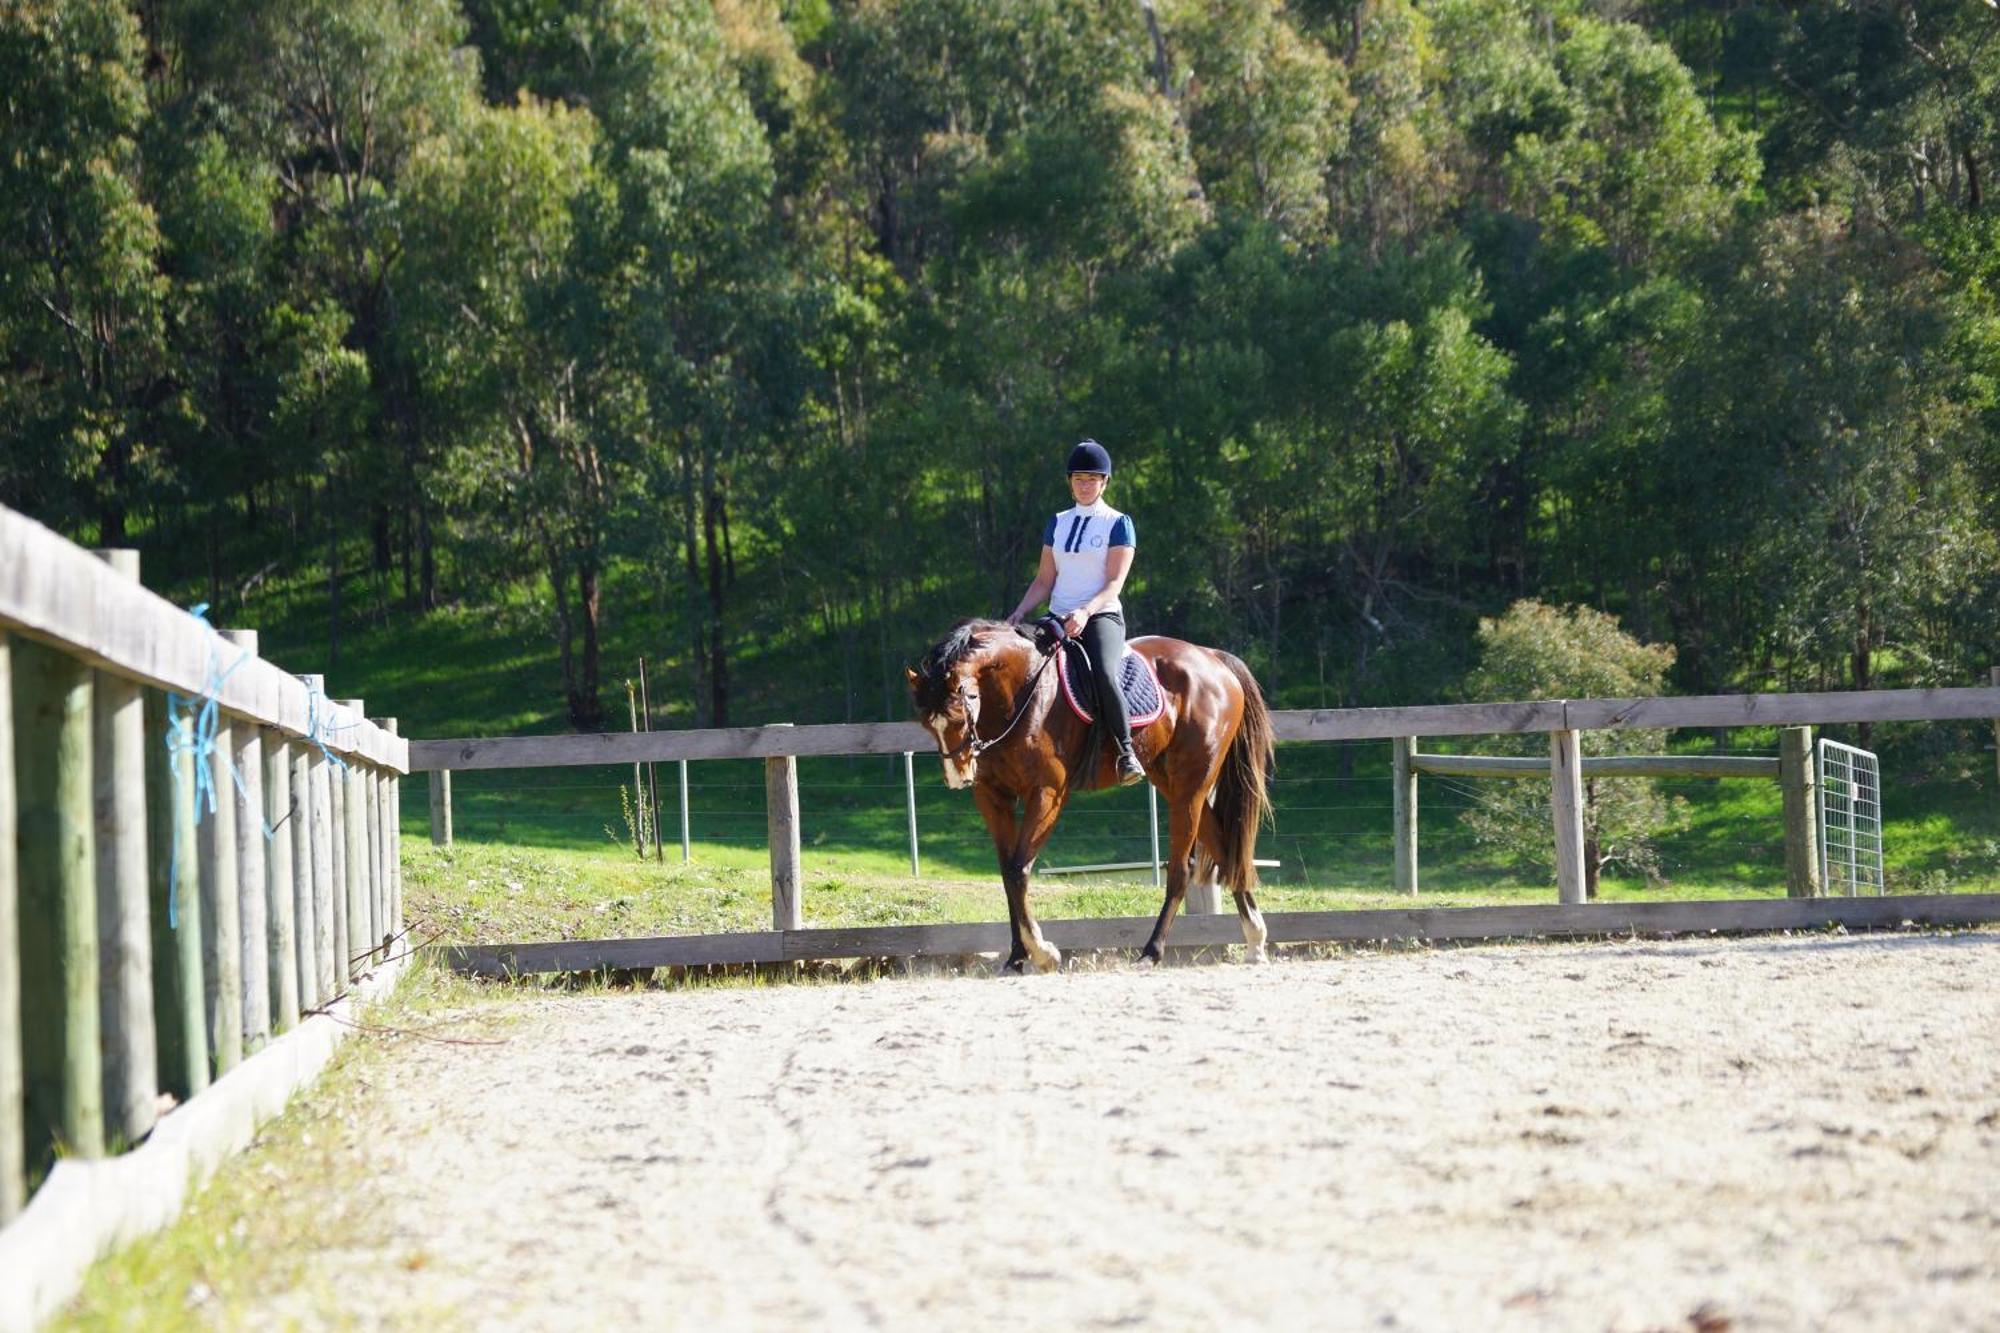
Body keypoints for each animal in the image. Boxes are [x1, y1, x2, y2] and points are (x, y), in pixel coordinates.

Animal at [912, 616, 1272, 972]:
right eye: (927, 724)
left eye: (959, 715)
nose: (957, 776)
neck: (1019, 691)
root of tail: (1212, 658)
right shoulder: (993, 797)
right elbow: (1007, 873)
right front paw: (1016, 958)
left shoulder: (1047, 793)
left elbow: (1018, 870)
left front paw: (1043, 953)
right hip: (1174, 783)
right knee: (1225, 853)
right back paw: (1255, 941)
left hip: (1192, 784)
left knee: (1182, 869)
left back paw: (1151, 952)